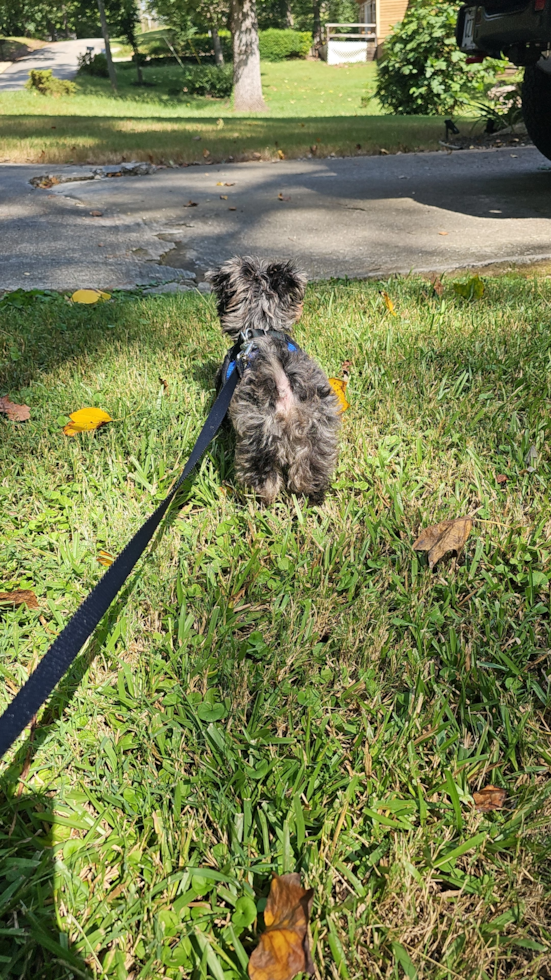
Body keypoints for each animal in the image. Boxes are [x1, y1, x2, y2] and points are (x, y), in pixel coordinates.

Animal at [205, 255, 338, 506]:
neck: (262, 329)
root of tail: (285, 392)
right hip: (319, 432)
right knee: (309, 470)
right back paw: (312, 496)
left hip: (259, 438)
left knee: (263, 477)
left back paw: (256, 500)